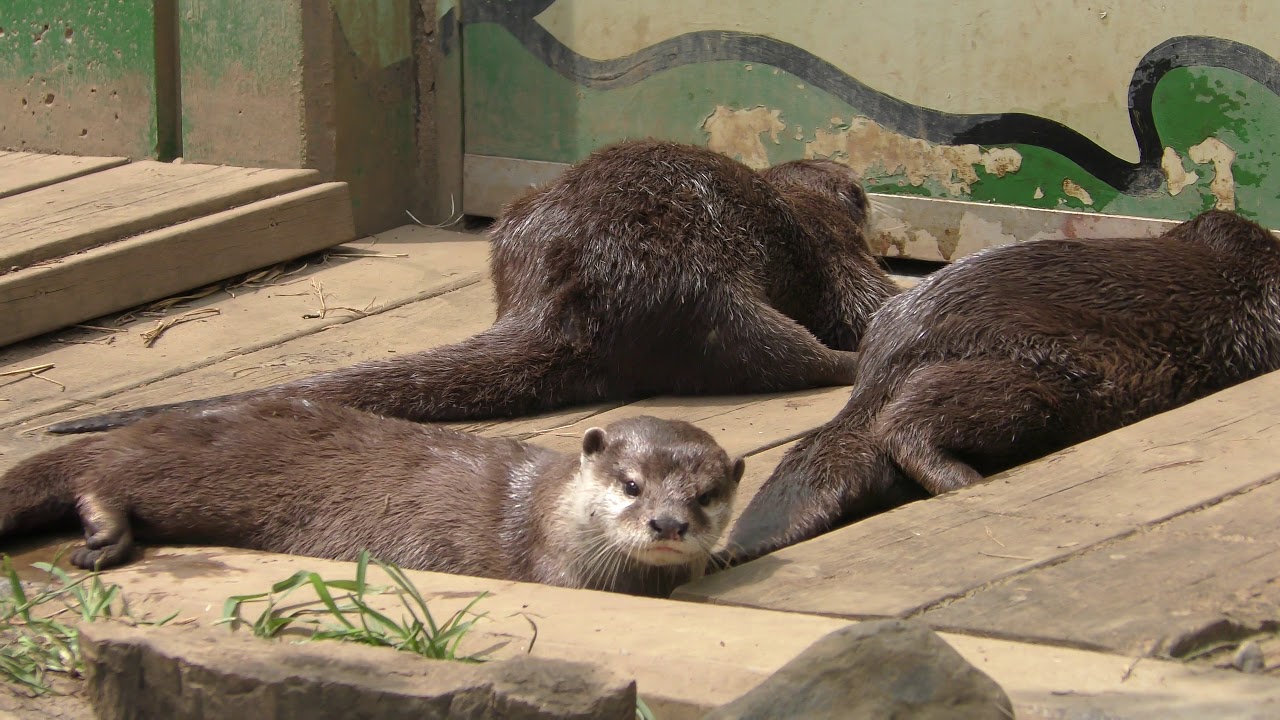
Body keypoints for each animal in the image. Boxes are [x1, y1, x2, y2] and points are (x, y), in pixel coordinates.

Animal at [4, 399, 744, 597]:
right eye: (631, 485)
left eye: (706, 495)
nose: (668, 523)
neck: (545, 515)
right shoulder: (554, 568)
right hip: (169, 468)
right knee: (99, 478)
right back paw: (103, 541)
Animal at [47, 141, 898, 434]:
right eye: (859, 192)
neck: (793, 201)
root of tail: (563, 300)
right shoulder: (833, 249)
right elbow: (863, 297)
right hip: (707, 291)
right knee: (777, 352)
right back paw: (849, 365)